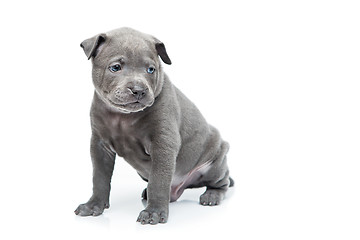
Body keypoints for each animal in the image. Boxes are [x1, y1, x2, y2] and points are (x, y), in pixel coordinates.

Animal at [75, 28, 233, 225]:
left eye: (151, 69)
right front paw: (94, 205)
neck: (123, 117)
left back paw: (212, 195)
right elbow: (99, 178)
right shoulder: (99, 146)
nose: (138, 90)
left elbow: (158, 181)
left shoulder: (163, 145)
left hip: (215, 161)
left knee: (221, 182)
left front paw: (154, 213)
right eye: (115, 67)